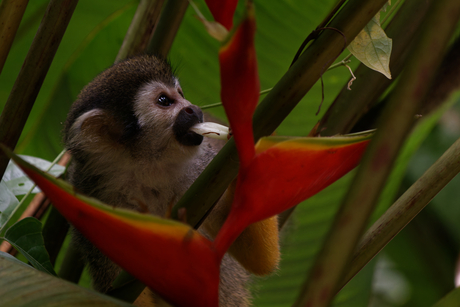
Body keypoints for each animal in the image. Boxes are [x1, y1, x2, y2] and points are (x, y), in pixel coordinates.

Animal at [63, 55, 278, 307]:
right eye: (164, 100)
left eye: (181, 93)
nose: (193, 108)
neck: (146, 167)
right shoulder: (89, 195)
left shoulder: (204, 170)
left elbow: (260, 259)